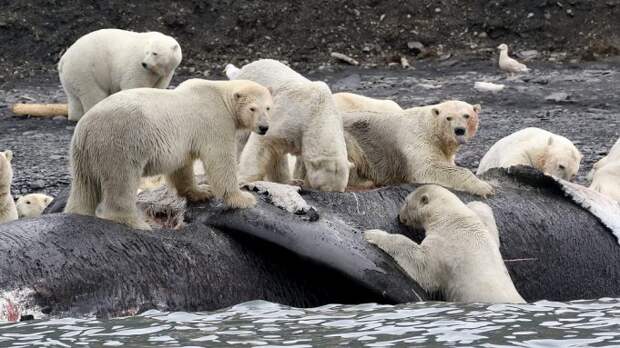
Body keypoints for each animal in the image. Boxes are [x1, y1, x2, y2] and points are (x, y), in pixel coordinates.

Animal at [63, 79, 274, 231]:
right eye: (253, 108)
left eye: (268, 107)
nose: (264, 127)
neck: (220, 96)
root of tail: (86, 128)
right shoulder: (214, 121)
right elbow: (220, 160)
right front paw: (243, 198)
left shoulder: (184, 141)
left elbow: (182, 166)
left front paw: (201, 192)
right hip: (120, 143)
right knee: (121, 181)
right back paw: (136, 223)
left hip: (83, 155)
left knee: (84, 187)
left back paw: (79, 212)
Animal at [224, 58, 352, 192]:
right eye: (323, 188)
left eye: (341, 190)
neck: (319, 110)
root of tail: (240, 70)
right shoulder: (288, 114)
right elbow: (262, 143)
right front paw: (244, 180)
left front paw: (296, 180)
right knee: (241, 140)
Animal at [366, 185, 524, 304]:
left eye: (405, 202)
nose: (399, 216)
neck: (450, 219)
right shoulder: (483, 231)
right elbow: (484, 216)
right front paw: (475, 203)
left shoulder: (445, 245)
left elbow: (422, 266)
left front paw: (372, 234)